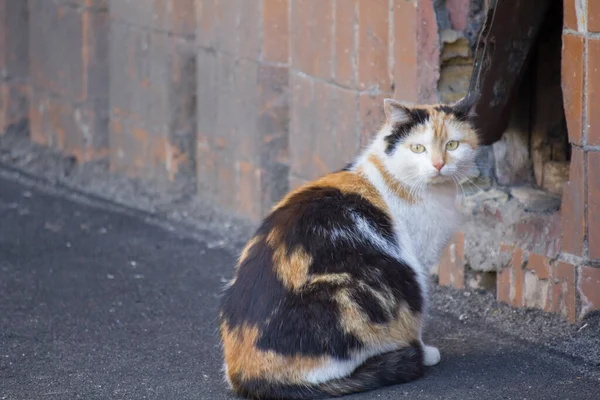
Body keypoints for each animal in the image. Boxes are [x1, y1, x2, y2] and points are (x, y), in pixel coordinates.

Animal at [219, 93, 478, 396]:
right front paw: (426, 351)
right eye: (418, 148)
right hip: (370, 288)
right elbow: (418, 321)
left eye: (452, 144)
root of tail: (246, 374)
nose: (438, 165)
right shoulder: (418, 266)